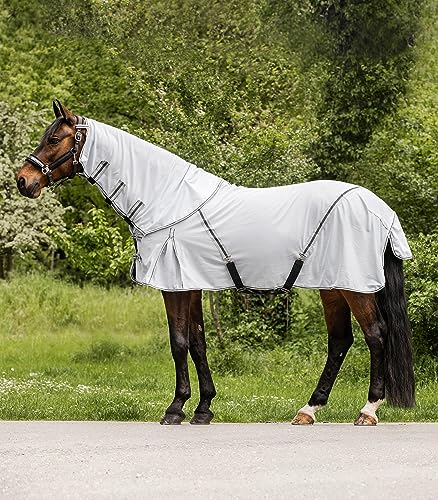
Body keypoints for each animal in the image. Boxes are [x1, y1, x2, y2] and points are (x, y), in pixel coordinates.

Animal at [16, 101, 414, 426]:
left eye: (54, 138)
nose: (23, 180)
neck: (168, 201)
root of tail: (381, 210)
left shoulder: (175, 287)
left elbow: (178, 342)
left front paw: (175, 409)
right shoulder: (190, 285)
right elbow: (198, 342)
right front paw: (203, 408)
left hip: (354, 287)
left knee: (376, 335)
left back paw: (368, 410)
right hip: (332, 286)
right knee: (340, 341)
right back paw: (309, 410)